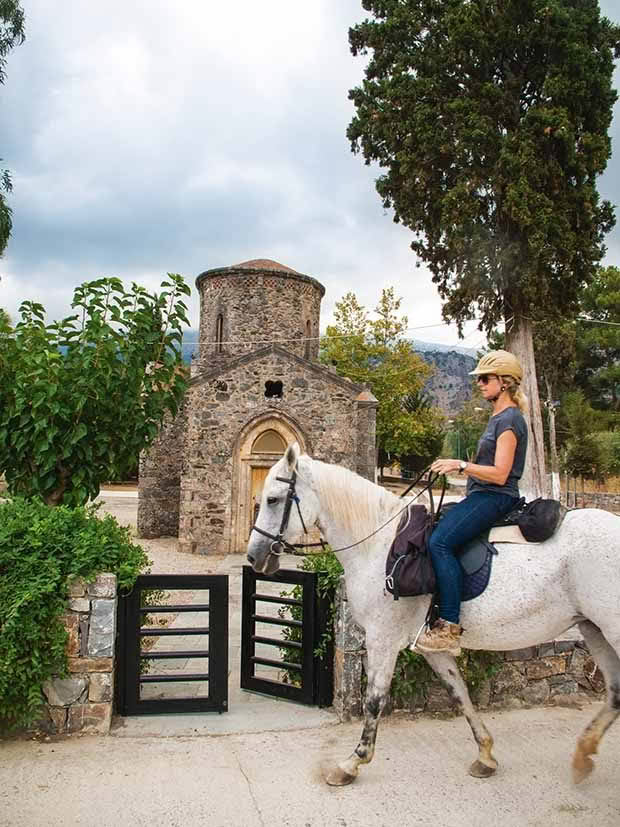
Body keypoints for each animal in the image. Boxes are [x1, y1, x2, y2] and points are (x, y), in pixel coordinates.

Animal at [247, 446, 620, 788]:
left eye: (273, 499)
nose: (254, 557)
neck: (378, 545)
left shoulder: (382, 639)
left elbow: (374, 701)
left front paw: (352, 762)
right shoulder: (431, 648)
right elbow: (459, 692)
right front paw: (485, 754)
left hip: (610, 628)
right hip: (593, 629)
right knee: (615, 692)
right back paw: (583, 755)